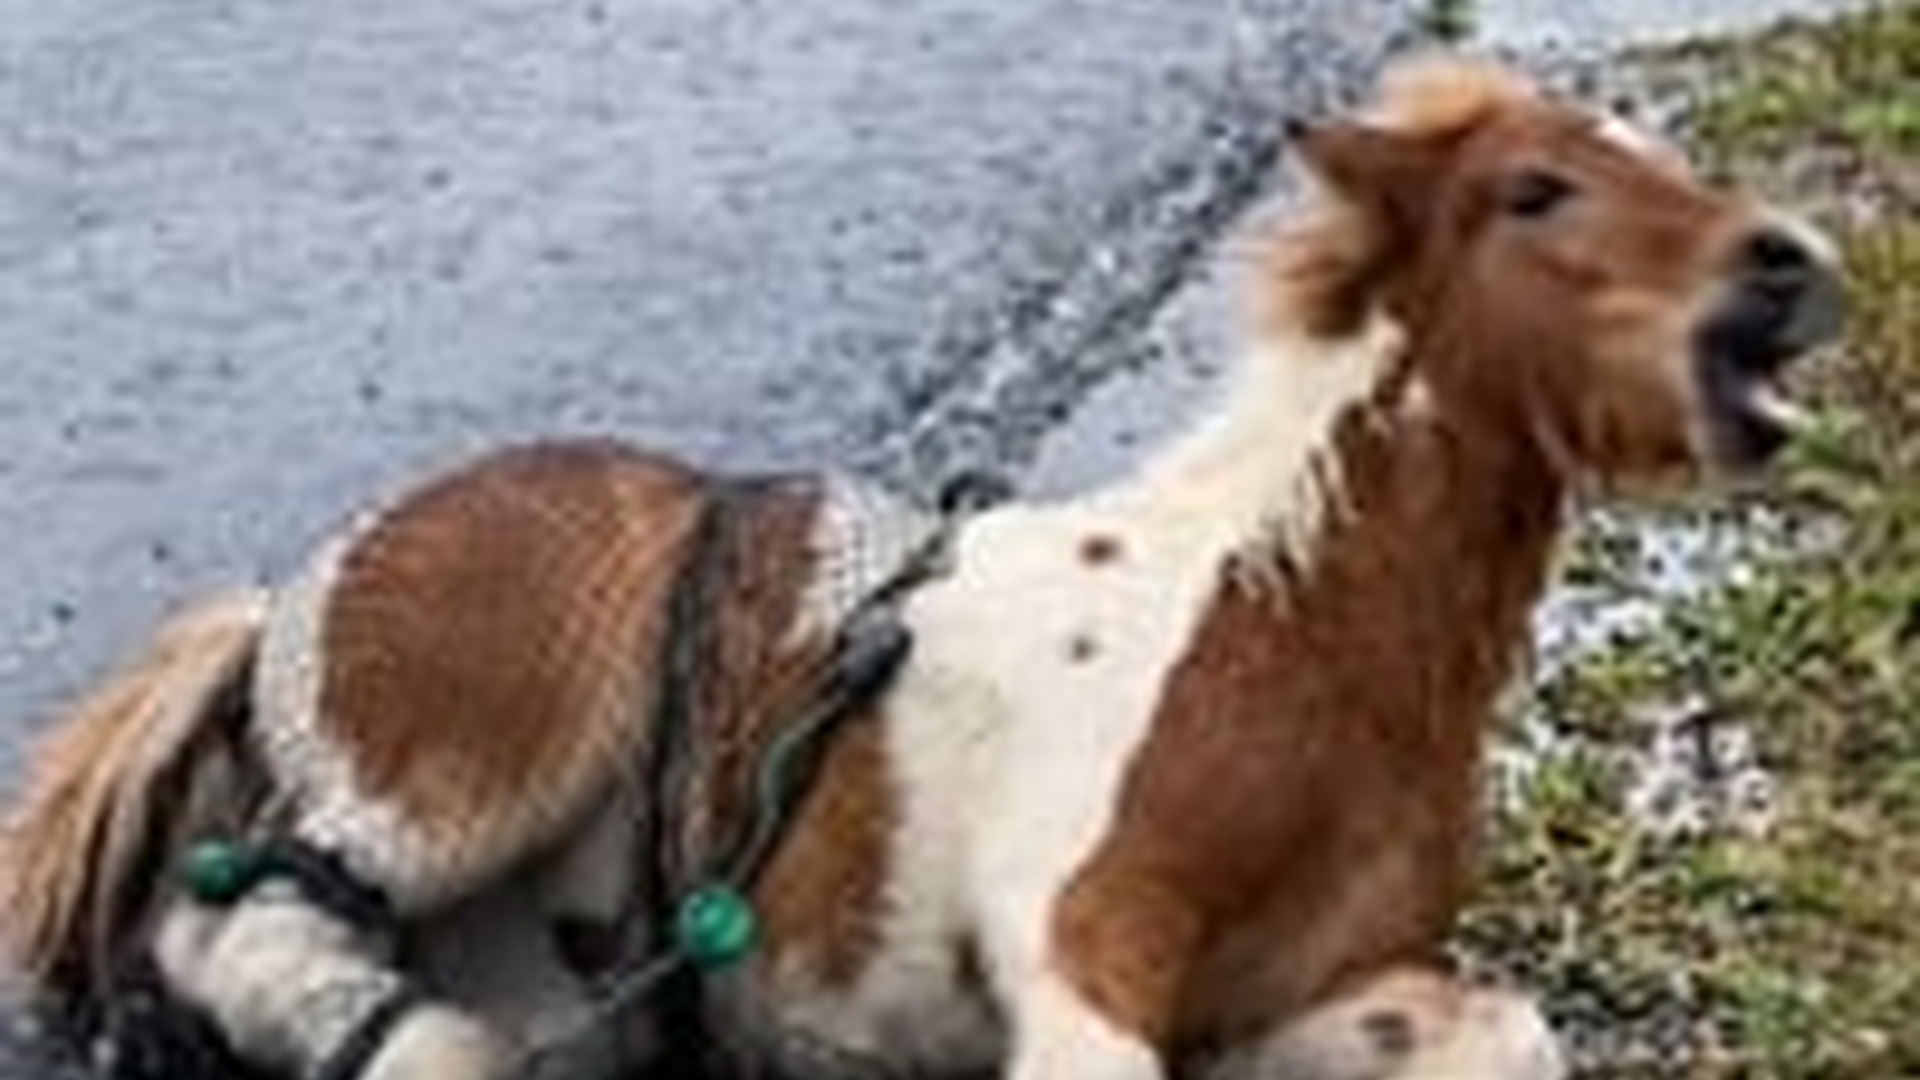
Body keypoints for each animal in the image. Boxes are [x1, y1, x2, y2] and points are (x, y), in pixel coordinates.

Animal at [0, 55, 1843, 1080]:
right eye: (1535, 191)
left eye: (1664, 158)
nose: (1793, 265)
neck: (1284, 620)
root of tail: (284, 598)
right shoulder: (1080, 951)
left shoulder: (1283, 994)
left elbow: (1500, 1031)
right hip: (460, 770)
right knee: (231, 925)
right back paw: (419, 1054)